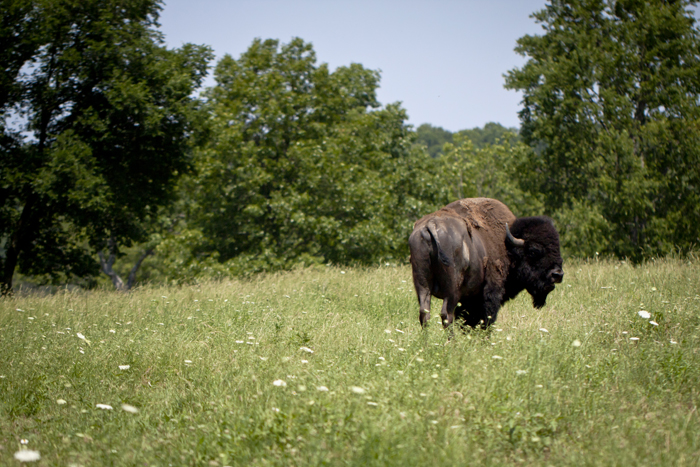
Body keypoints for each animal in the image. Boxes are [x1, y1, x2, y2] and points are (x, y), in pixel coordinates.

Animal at [410, 197, 564, 330]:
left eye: (558, 248)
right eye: (533, 251)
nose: (558, 274)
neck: (508, 247)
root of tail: (431, 225)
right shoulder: (491, 291)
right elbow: (487, 317)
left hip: (422, 284)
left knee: (424, 314)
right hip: (452, 289)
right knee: (446, 314)